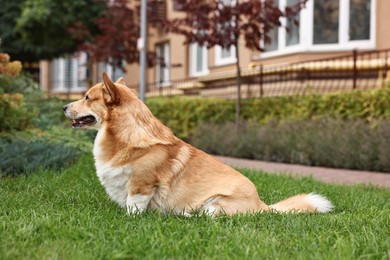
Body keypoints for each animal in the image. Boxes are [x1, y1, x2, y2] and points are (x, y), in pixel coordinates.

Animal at [63, 72, 332, 215]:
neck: (129, 135)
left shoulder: (142, 185)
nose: (64, 106)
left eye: (87, 97)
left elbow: (134, 206)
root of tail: (262, 206)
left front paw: (132, 219)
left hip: (215, 204)